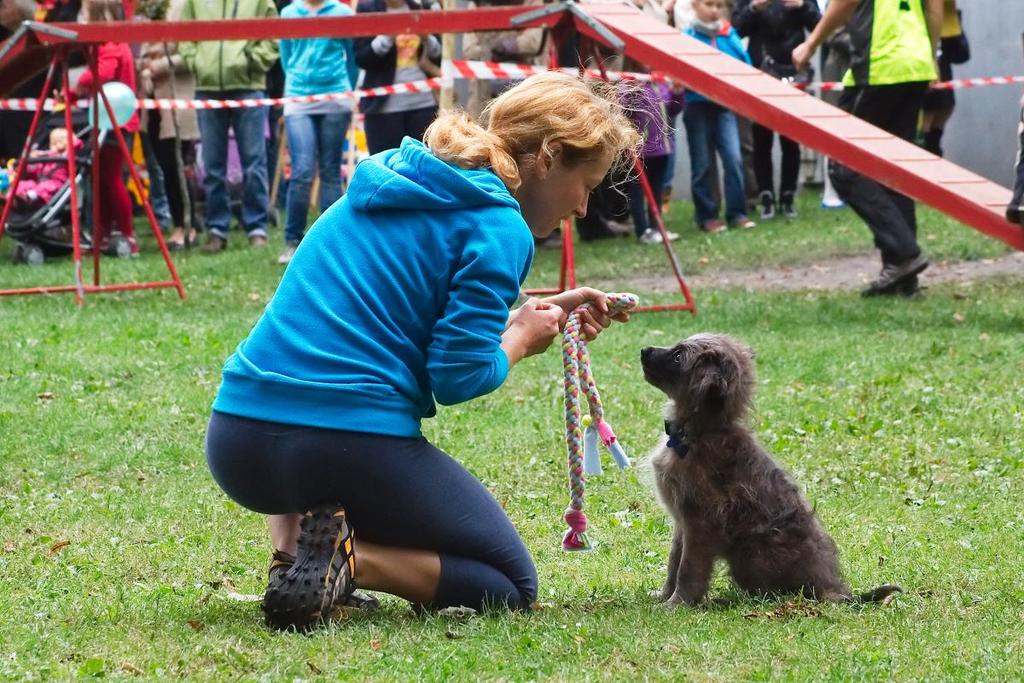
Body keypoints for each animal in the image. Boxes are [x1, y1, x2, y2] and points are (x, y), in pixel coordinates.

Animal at [643, 333, 901, 606]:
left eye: (678, 356)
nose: (643, 350)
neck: (699, 431)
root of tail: (829, 588)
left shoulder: (700, 524)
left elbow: (688, 569)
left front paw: (677, 604)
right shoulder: (682, 523)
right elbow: (674, 562)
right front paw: (663, 595)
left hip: (749, 555)